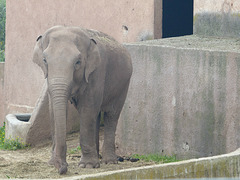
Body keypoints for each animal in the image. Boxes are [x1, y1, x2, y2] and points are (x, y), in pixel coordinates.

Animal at [31, 25, 132, 174]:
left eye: (78, 62)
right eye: (44, 60)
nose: (62, 168)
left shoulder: (96, 73)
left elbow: (87, 109)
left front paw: (87, 166)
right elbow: (53, 110)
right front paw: (52, 163)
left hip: (123, 85)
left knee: (111, 115)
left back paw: (108, 161)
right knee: (96, 115)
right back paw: (98, 157)